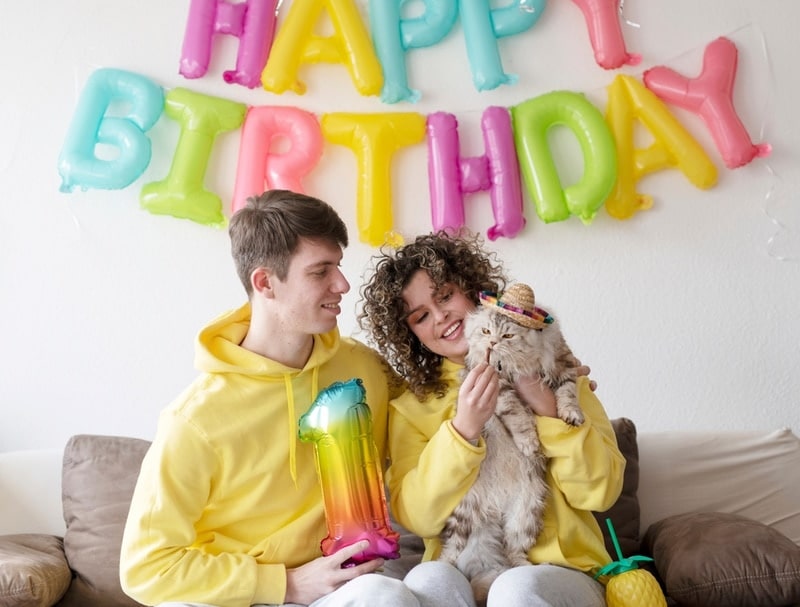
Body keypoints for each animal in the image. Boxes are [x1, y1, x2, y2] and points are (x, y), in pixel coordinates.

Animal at [440, 284, 584, 604]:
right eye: (485, 331)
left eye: (507, 336)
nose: (492, 343)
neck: (519, 365)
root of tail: (494, 508)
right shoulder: (500, 388)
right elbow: (518, 418)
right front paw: (529, 443)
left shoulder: (564, 368)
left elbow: (567, 396)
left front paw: (572, 416)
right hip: (463, 513)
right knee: (452, 548)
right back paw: (442, 564)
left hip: (525, 515)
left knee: (513, 552)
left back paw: (522, 567)